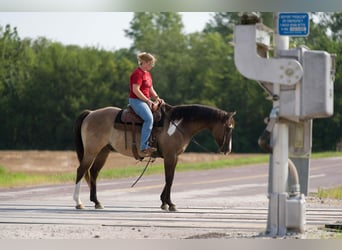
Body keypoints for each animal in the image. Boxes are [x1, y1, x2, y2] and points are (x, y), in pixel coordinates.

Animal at [73, 103, 235, 211]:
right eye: (228, 128)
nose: (228, 150)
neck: (177, 125)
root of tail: (91, 113)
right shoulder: (170, 156)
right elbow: (169, 179)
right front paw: (170, 204)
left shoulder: (174, 157)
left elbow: (170, 178)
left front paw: (164, 202)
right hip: (91, 151)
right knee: (81, 171)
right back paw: (78, 202)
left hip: (103, 151)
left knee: (93, 172)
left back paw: (96, 202)